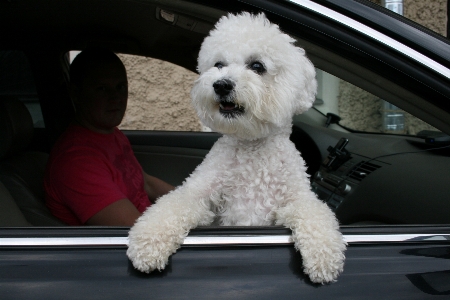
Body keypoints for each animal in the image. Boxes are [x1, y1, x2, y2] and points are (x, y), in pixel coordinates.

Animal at [128, 11, 346, 284]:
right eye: (219, 64)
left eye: (257, 66)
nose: (221, 84)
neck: (252, 146)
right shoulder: (199, 194)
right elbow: (172, 205)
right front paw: (147, 243)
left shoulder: (297, 198)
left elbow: (316, 214)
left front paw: (324, 257)